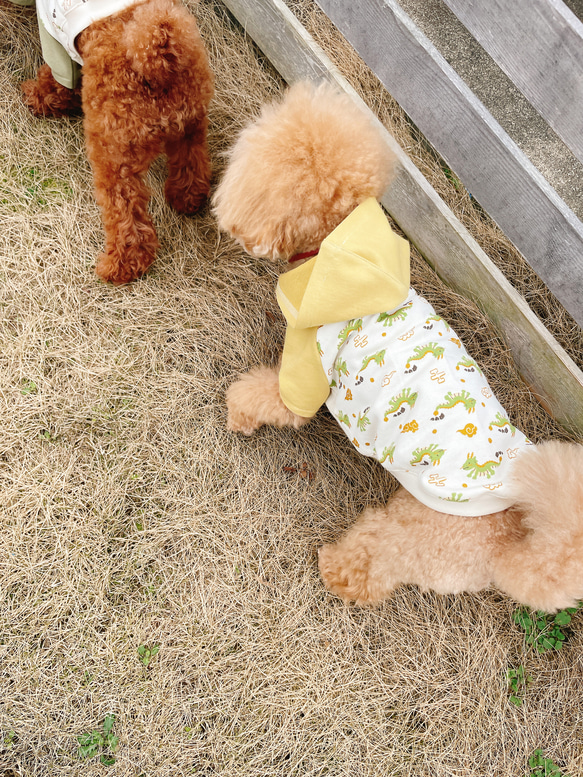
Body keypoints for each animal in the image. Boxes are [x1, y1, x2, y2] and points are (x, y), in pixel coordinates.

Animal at [213, 80, 583, 612]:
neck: (347, 249)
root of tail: (508, 544)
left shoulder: (307, 371)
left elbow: (272, 400)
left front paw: (237, 412)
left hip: (409, 534)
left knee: (373, 562)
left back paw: (334, 568)